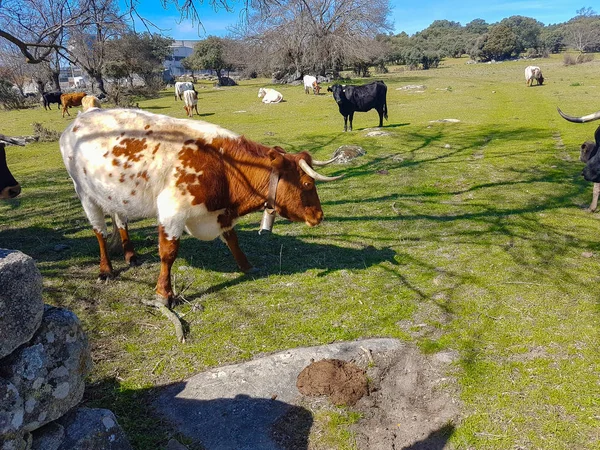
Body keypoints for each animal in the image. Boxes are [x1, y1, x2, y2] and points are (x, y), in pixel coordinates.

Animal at [60, 107, 342, 308]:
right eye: (307, 183)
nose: (319, 215)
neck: (226, 167)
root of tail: (79, 120)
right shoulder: (172, 211)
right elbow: (168, 254)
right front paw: (164, 294)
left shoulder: (220, 214)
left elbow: (232, 239)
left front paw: (247, 266)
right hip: (85, 194)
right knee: (99, 231)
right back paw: (106, 270)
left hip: (116, 195)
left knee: (120, 220)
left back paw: (131, 255)